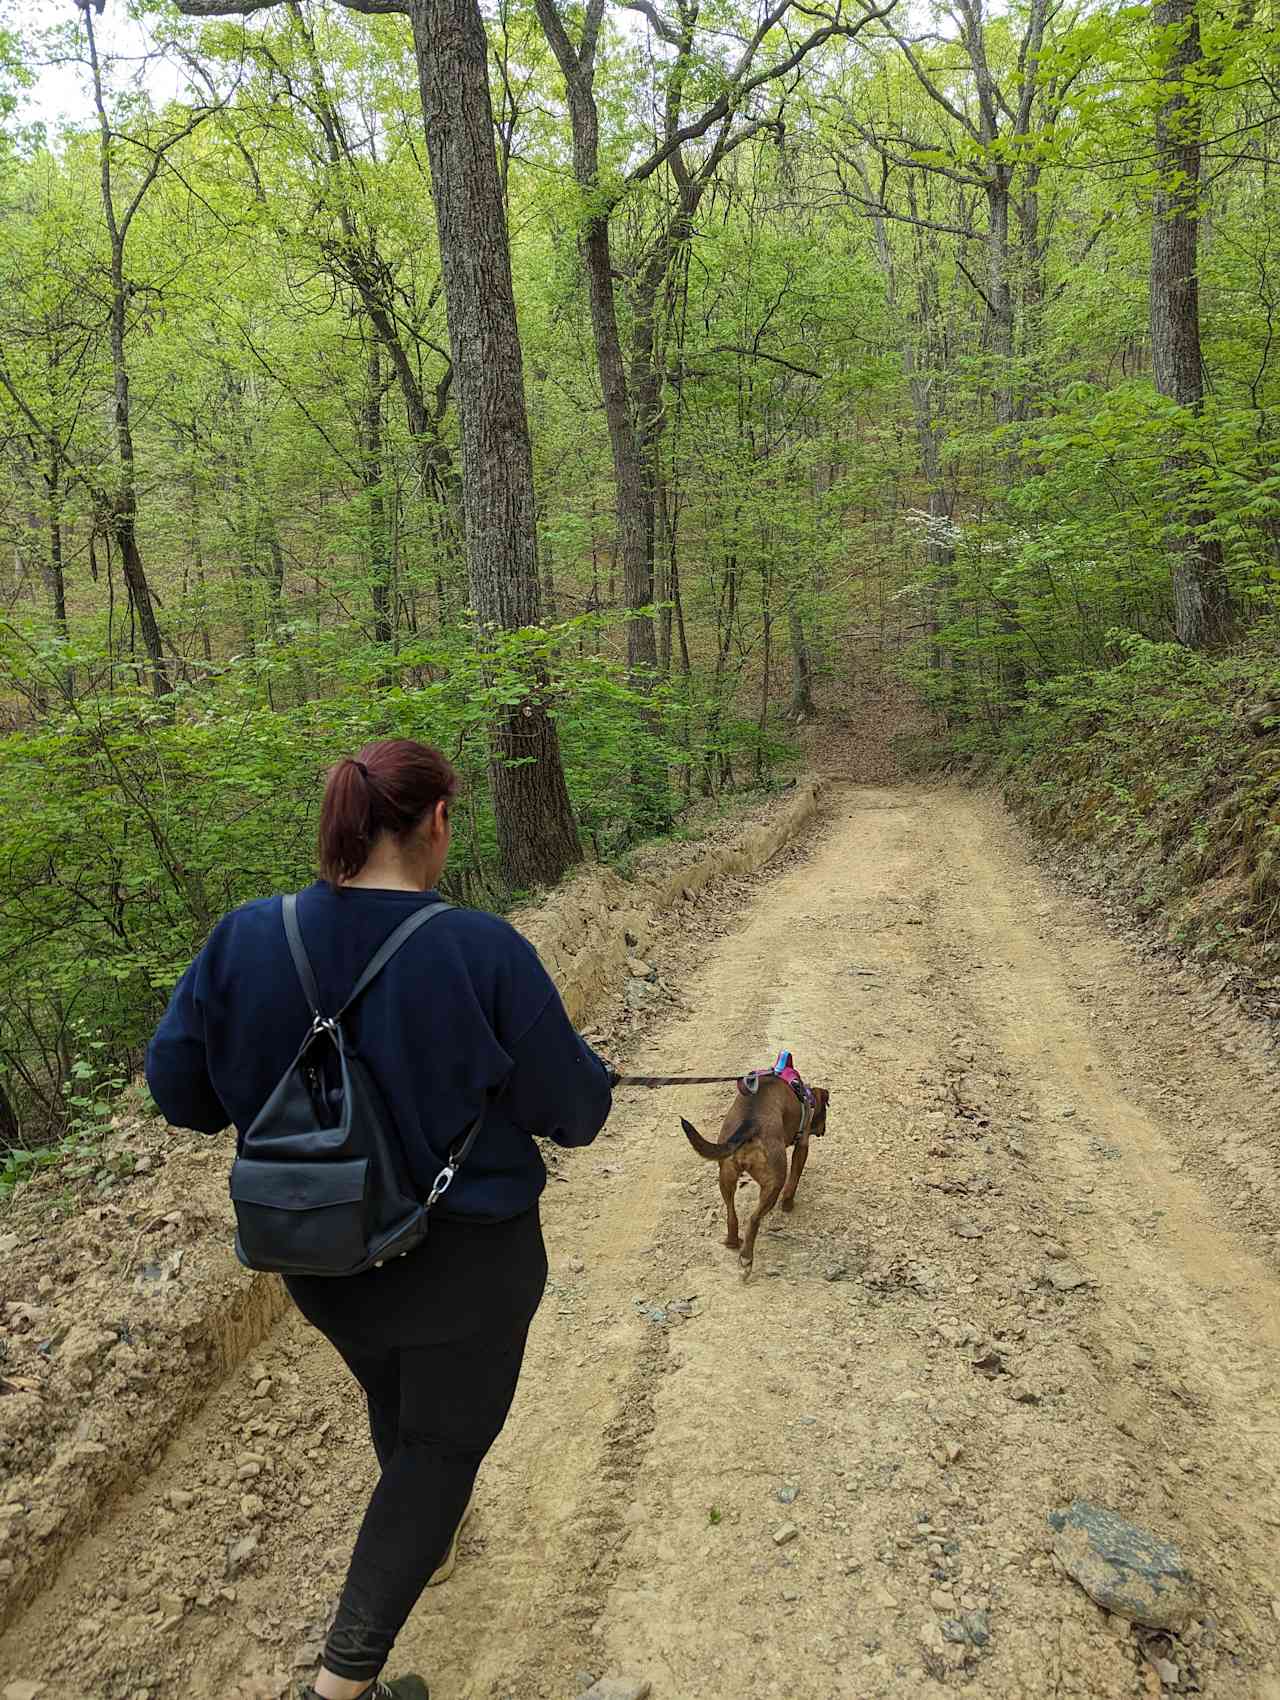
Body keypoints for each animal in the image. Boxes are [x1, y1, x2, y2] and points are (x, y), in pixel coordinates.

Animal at [679, 1074, 829, 1278]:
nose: (824, 1130)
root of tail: (750, 1123)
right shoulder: (802, 1145)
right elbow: (793, 1182)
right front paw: (788, 1205)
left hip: (726, 1177)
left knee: (731, 1215)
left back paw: (733, 1242)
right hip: (774, 1183)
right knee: (754, 1219)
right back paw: (747, 1258)